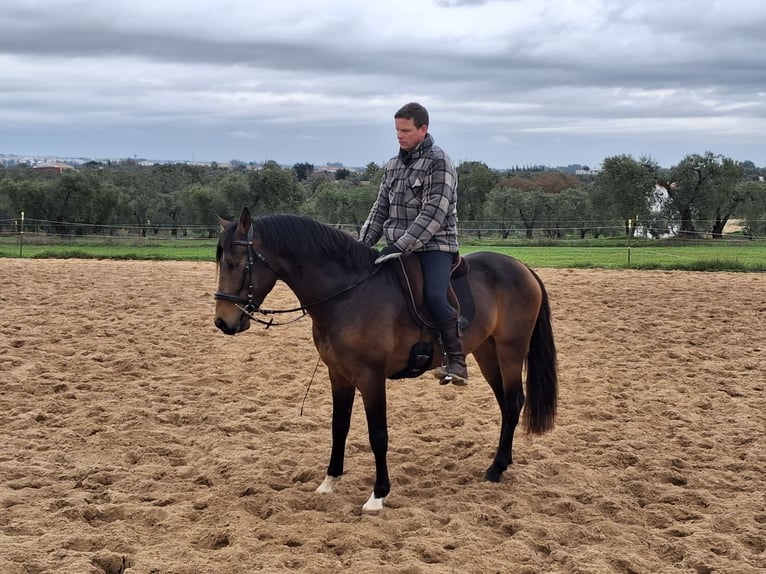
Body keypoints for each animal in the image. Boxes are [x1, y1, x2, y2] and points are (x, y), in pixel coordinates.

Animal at [214, 207, 558, 513]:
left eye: (235, 263)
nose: (223, 322)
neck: (347, 295)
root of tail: (522, 267)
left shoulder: (371, 377)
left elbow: (378, 435)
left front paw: (378, 495)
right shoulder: (338, 375)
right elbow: (339, 426)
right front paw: (329, 481)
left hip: (511, 349)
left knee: (513, 402)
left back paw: (496, 469)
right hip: (487, 351)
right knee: (505, 404)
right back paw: (502, 462)